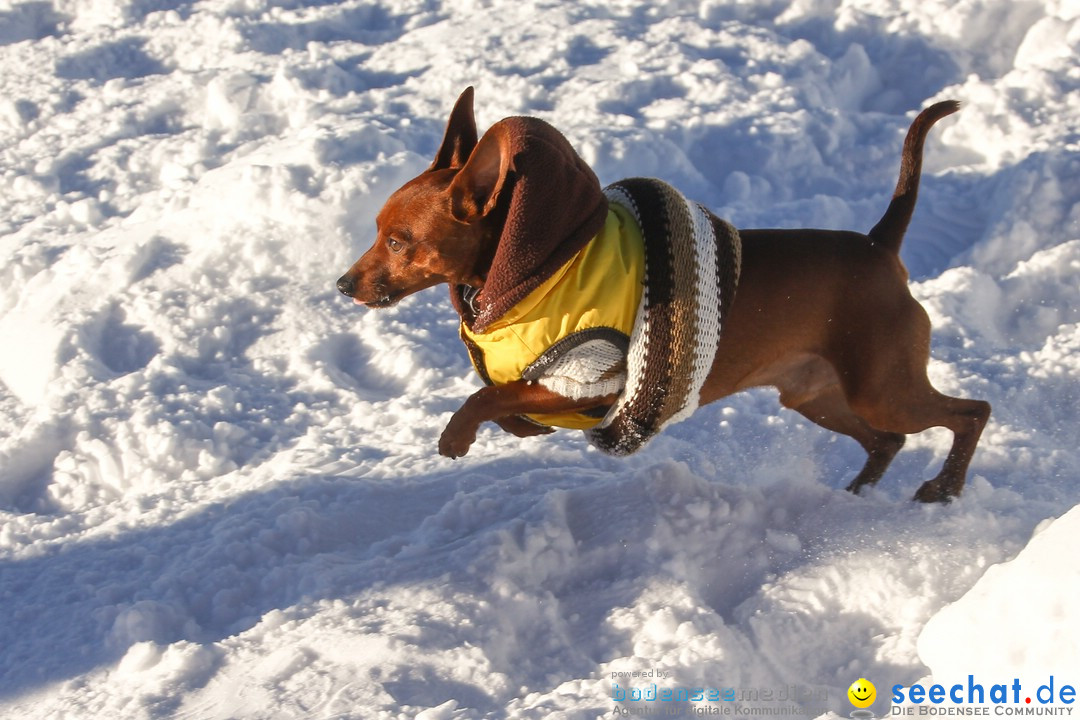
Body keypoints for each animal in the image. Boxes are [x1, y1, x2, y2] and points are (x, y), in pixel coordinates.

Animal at [336, 88, 989, 500]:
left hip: (881, 388)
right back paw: (861, 491)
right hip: (818, 395)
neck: (532, 271)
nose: (343, 284)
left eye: (398, 241)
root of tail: (879, 245)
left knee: (970, 412)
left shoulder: (593, 384)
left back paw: (944, 488)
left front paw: (458, 435)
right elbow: (503, 397)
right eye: (377, 231)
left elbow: (488, 395)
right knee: (890, 440)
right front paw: (522, 431)